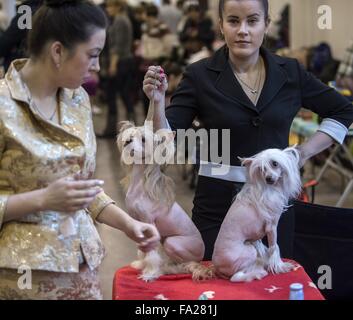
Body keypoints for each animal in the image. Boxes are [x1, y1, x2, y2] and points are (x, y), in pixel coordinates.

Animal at [117, 121, 210, 282]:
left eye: (143, 139)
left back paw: (170, 269)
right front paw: (141, 264)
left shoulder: (149, 223)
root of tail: (202, 255)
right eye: (130, 135)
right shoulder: (140, 224)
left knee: (187, 264)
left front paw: (150, 273)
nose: (127, 141)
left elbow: (151, 254)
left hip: (172, 243)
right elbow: (143, 250)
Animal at [210, 146, 302, 282]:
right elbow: (274, 247)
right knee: (236, 277)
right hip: (249, 251)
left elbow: (264, 250)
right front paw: (280, 266)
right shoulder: (271, 227)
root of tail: (217, 268)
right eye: (261, 169)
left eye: (275, 163)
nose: (268, 178)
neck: (269, 188)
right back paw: (257, 273)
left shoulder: (256, 238)